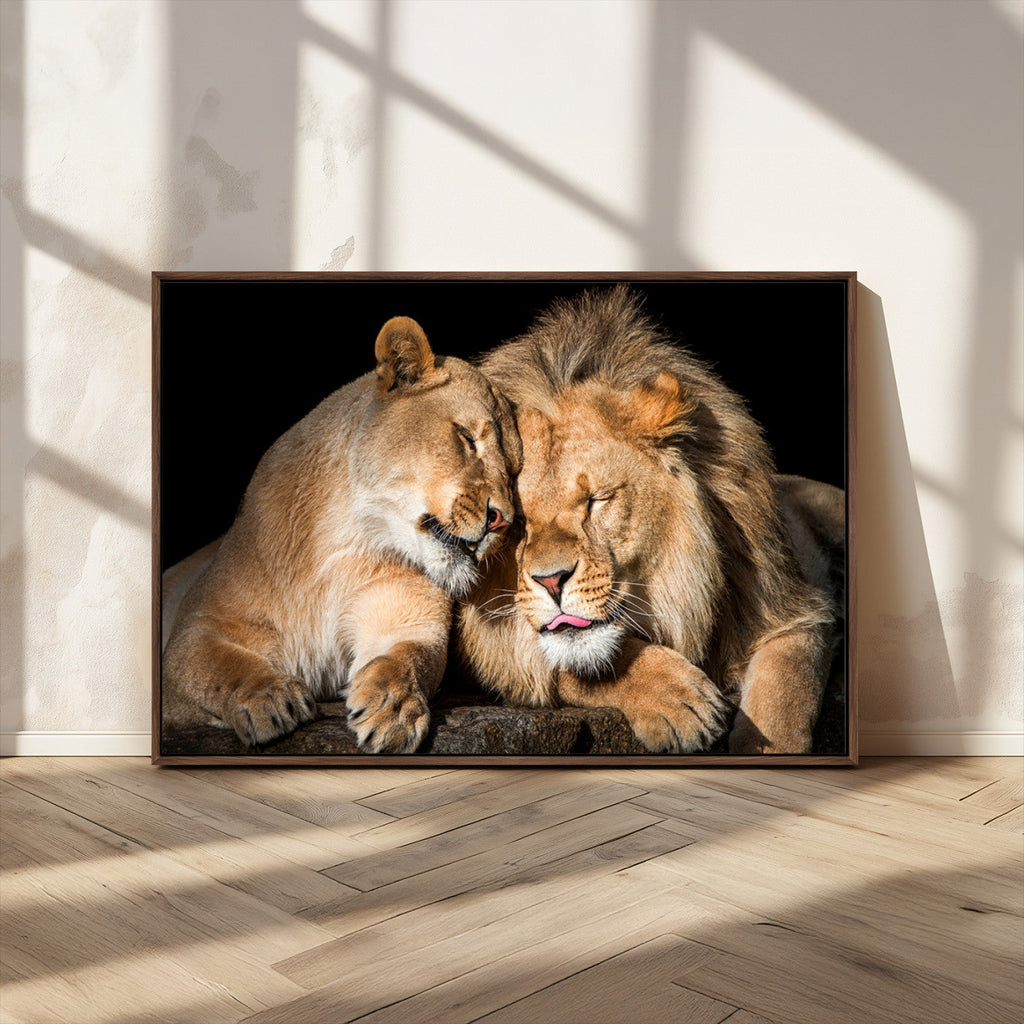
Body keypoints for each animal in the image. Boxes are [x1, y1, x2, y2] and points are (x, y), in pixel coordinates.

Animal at [162, 316, 521, 753]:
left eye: (515, 471)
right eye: (468, 439)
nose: (502, 521)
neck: (346, 540)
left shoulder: (409, 619)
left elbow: (406, 659)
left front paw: (393, 708)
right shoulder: (195, 630)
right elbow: (219, 665)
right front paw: (268, 698)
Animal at [457, 287, 842, 754]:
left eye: (597, 500)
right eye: (514, 522)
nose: (551, 581)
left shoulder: (791, 607)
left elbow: (784, 694)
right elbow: (577, 662)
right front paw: (679, 701)